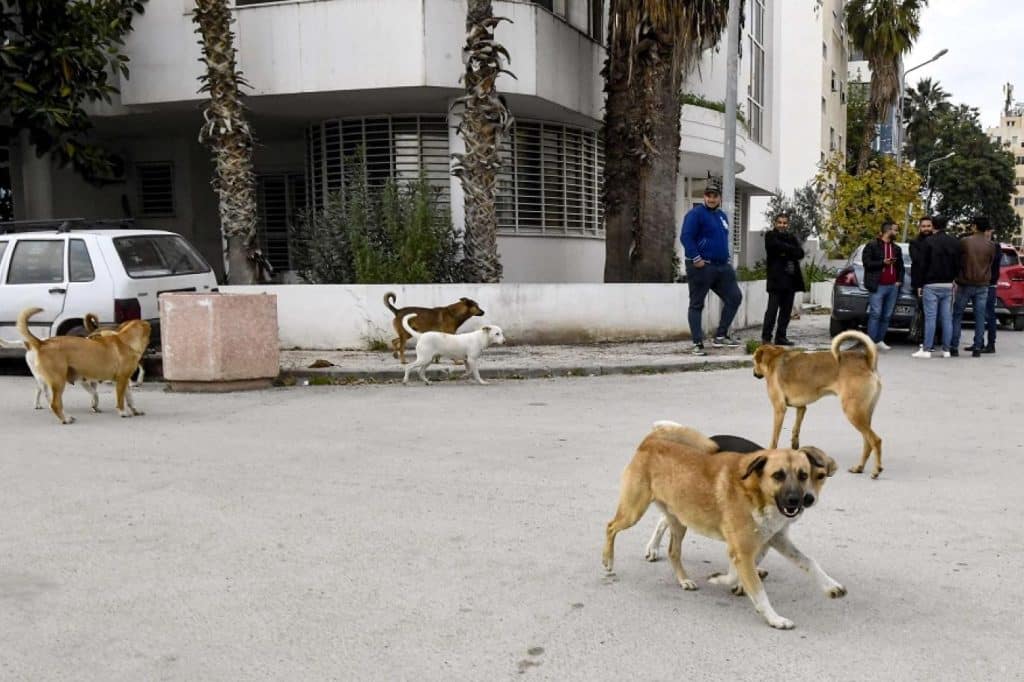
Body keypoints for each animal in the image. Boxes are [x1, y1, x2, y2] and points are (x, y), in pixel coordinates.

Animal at [602, 417, 843, 630]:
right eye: (778, 475)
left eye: (804, 475)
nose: (799, 500)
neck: (754, 493)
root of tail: (650, 441)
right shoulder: (743, 551)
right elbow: (756, 589)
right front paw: (775, 619)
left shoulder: (774, 539)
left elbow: (808, 562)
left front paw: (831, 585)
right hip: (633, 511)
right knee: (611, 527)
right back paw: (608, 561)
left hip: (680, 520)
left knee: (673, 551)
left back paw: (683, 580)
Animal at [749, 329, 884, 477]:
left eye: (753, 361)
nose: (754, 373)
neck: (774, 358)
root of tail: (867, 361)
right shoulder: (801, 408)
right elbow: (796, 429)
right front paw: (795, 448)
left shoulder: (780, 409)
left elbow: (774, 437)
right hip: (863, 414)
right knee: (867, 442)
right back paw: (859, 467)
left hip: (853, 412)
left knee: (875, 440)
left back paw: (876, 470)